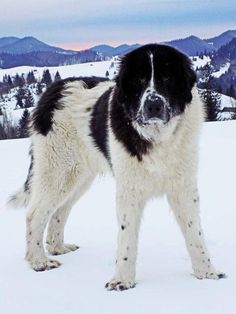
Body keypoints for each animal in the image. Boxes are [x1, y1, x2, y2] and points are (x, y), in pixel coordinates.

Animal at [8, 43, 225, 290]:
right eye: (139, 80)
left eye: (168, 77)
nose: (153, 105)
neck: (157, 136)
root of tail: (53, 90)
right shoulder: (129, 189)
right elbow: (126, 237)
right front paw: (122, 279)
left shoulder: (183, 187)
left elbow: (194, 232)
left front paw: (206, 273)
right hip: (58, 171)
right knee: (35, 213)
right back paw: (38, 261)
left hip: (78, 176)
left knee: (60, 210)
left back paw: (57, 248)